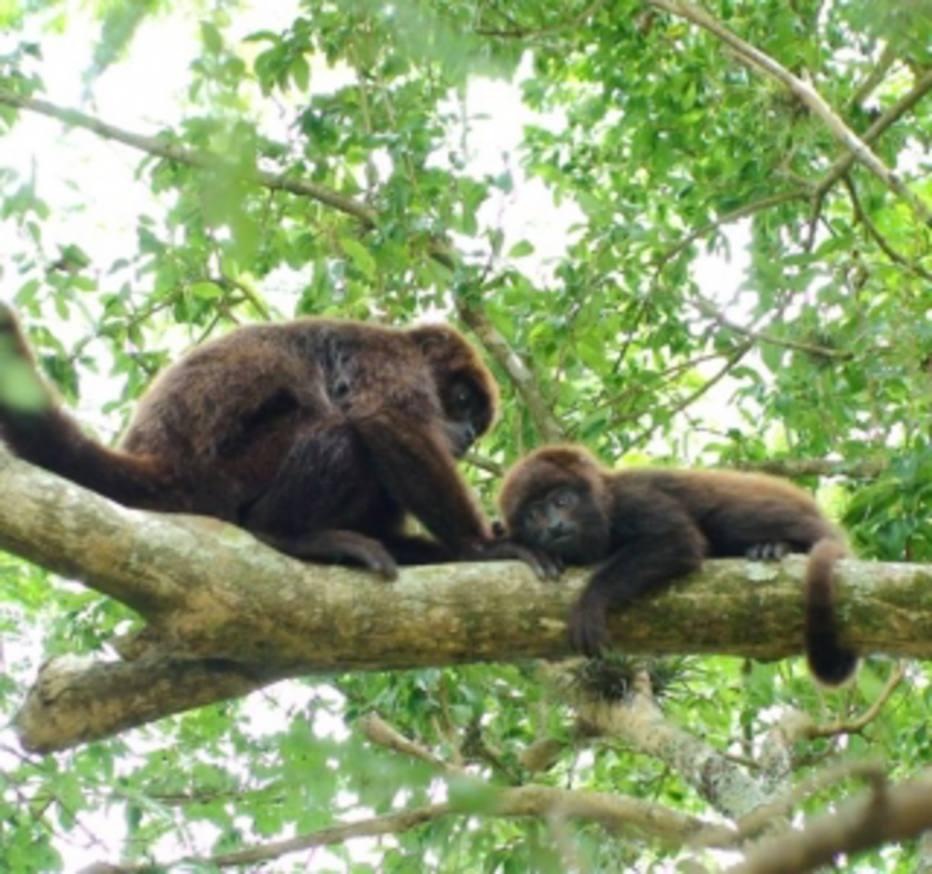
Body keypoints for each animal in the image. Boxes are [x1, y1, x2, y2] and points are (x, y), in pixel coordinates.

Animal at [0, 304, 552, 584]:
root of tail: (161, 463)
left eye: (477, 423)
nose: (465, 435)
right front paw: (483, 547)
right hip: (229, 474)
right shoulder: (387, 358)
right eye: (460, 400)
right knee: (341, 434)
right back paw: (289, 535)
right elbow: (387, 422)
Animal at [498, 446, 856, 684]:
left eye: (562, 500)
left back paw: (776, 545)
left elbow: (678, 539)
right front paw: (519, 548)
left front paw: (591, 601)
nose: (553, 526)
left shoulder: (632, 497)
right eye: (534, 515)